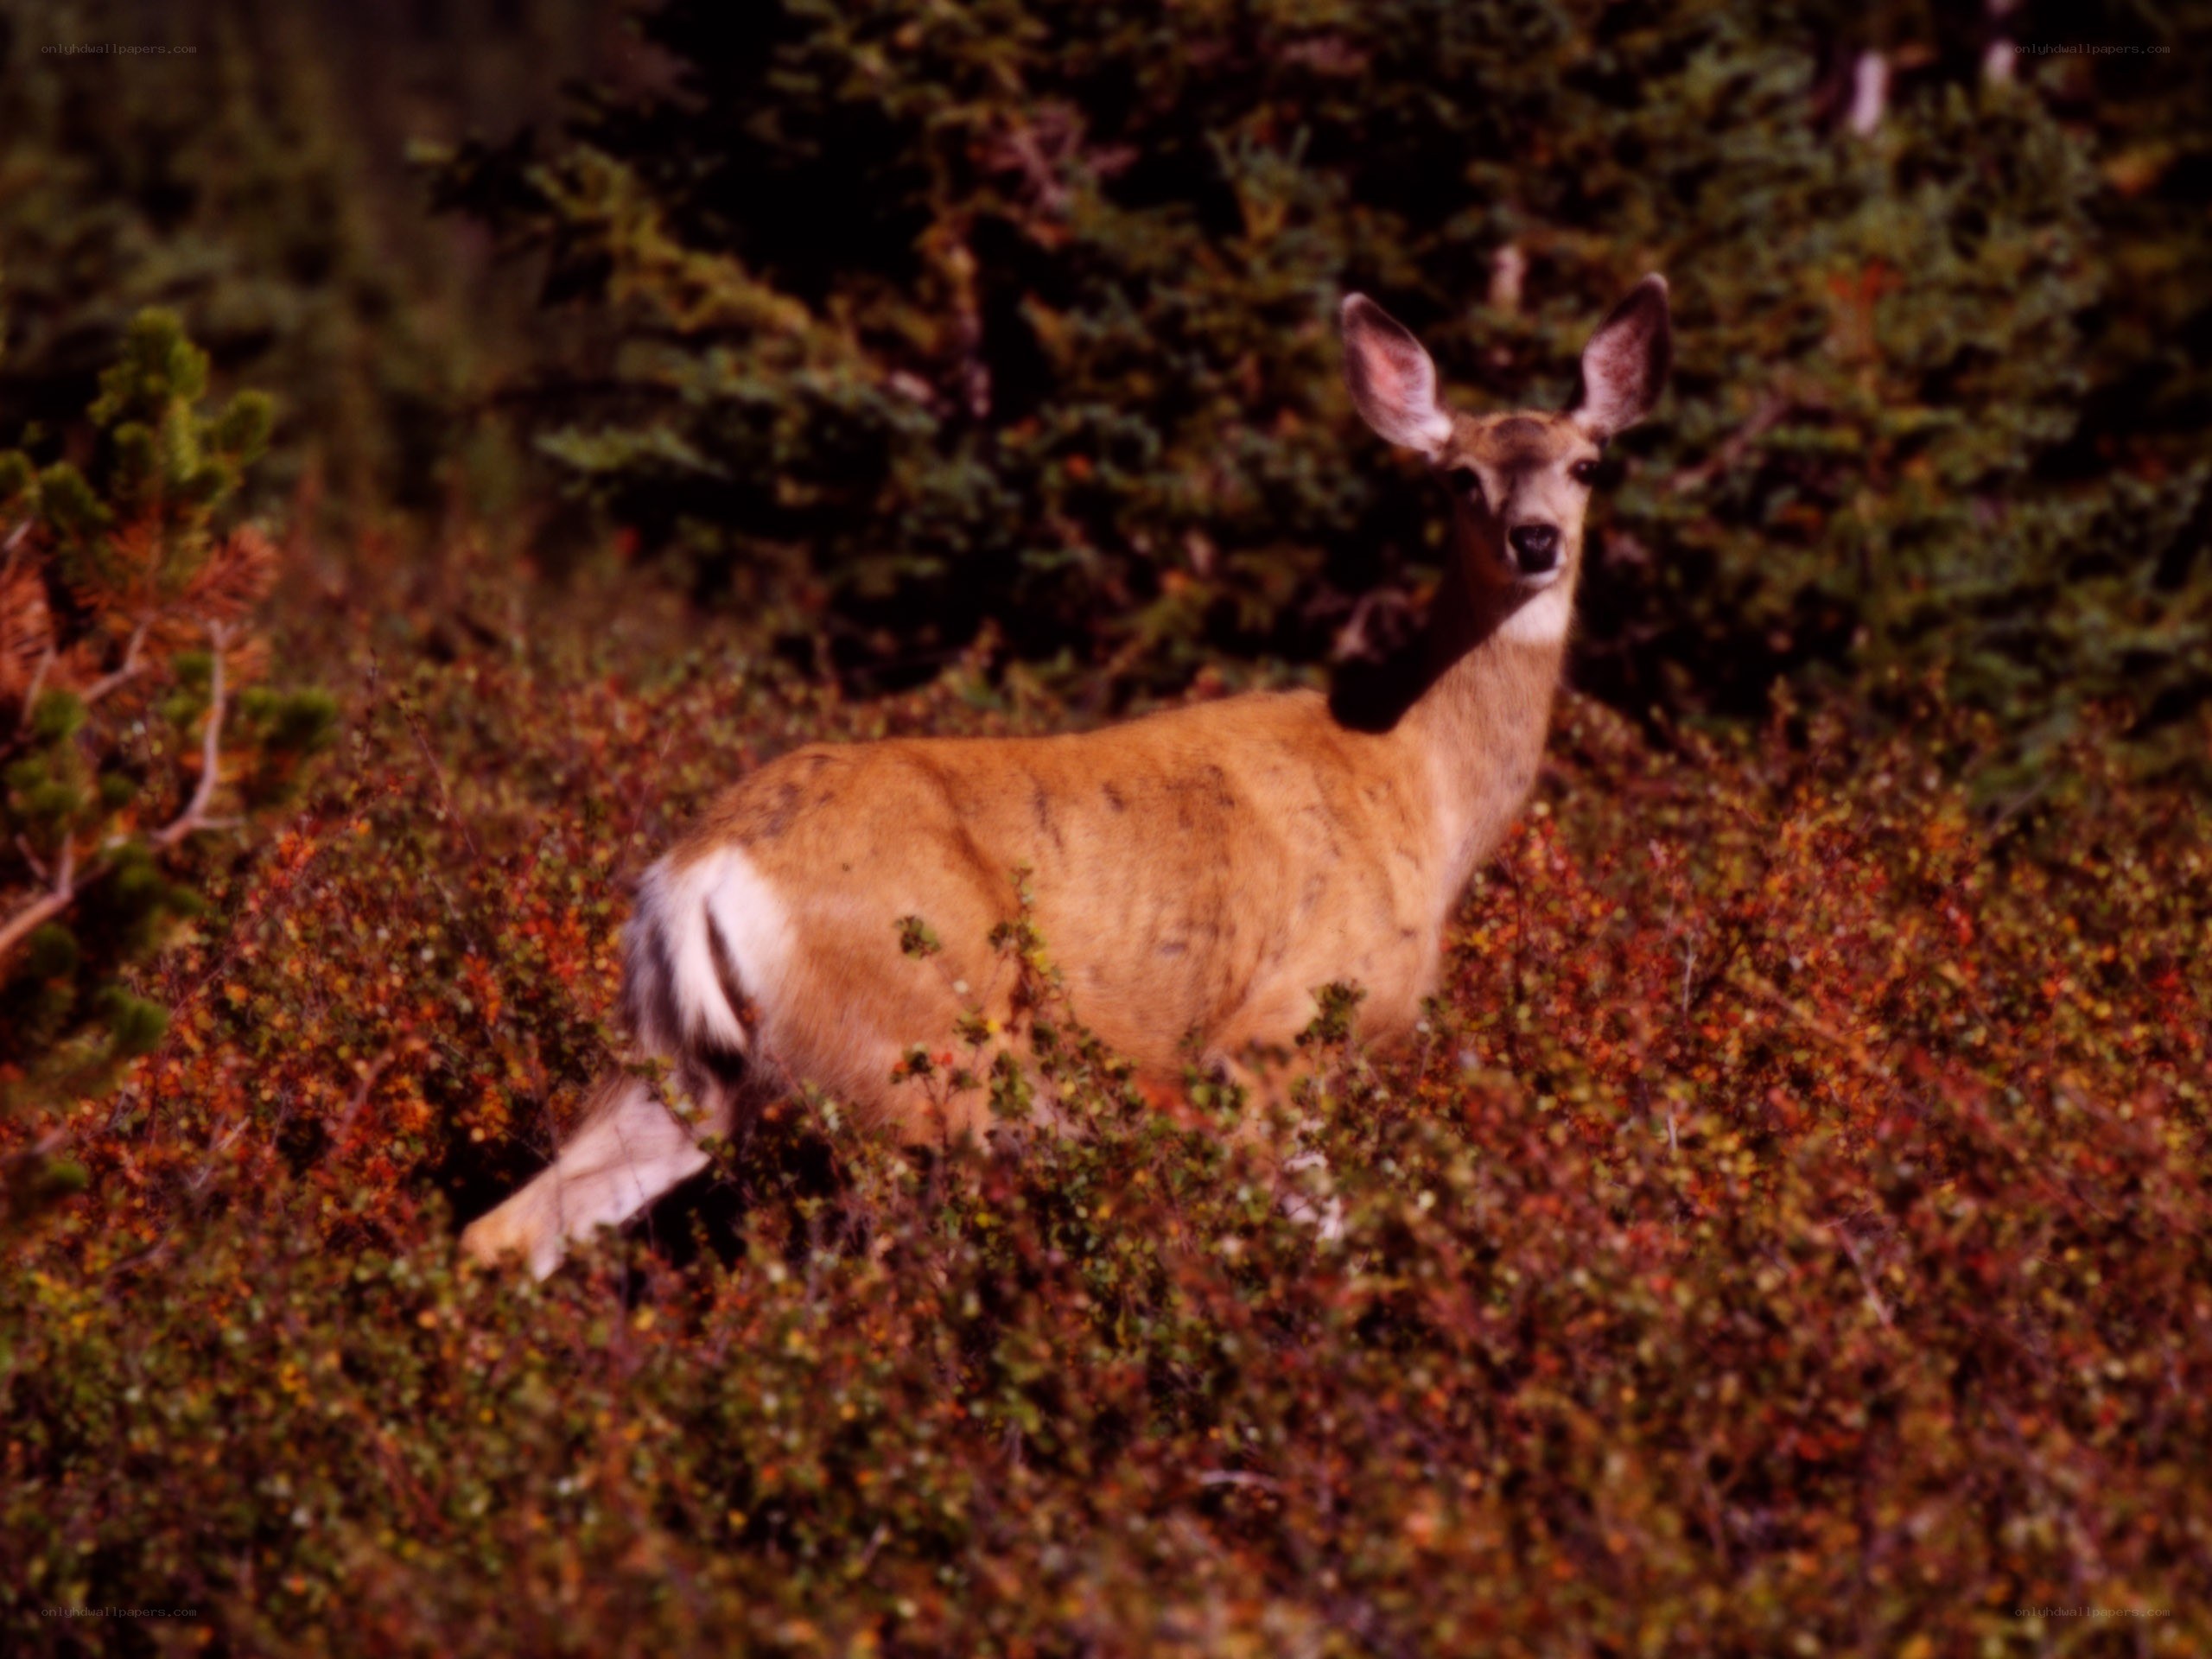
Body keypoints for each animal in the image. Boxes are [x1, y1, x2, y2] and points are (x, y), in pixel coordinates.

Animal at [460, 275, 1671, 1277]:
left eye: (1585, 465)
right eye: (1459, 476)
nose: (1534, 540)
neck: (1411, 780)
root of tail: (697, 872)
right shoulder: (1271, 1038)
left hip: (685, 1065)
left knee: (507, 1229)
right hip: (907, 1058)